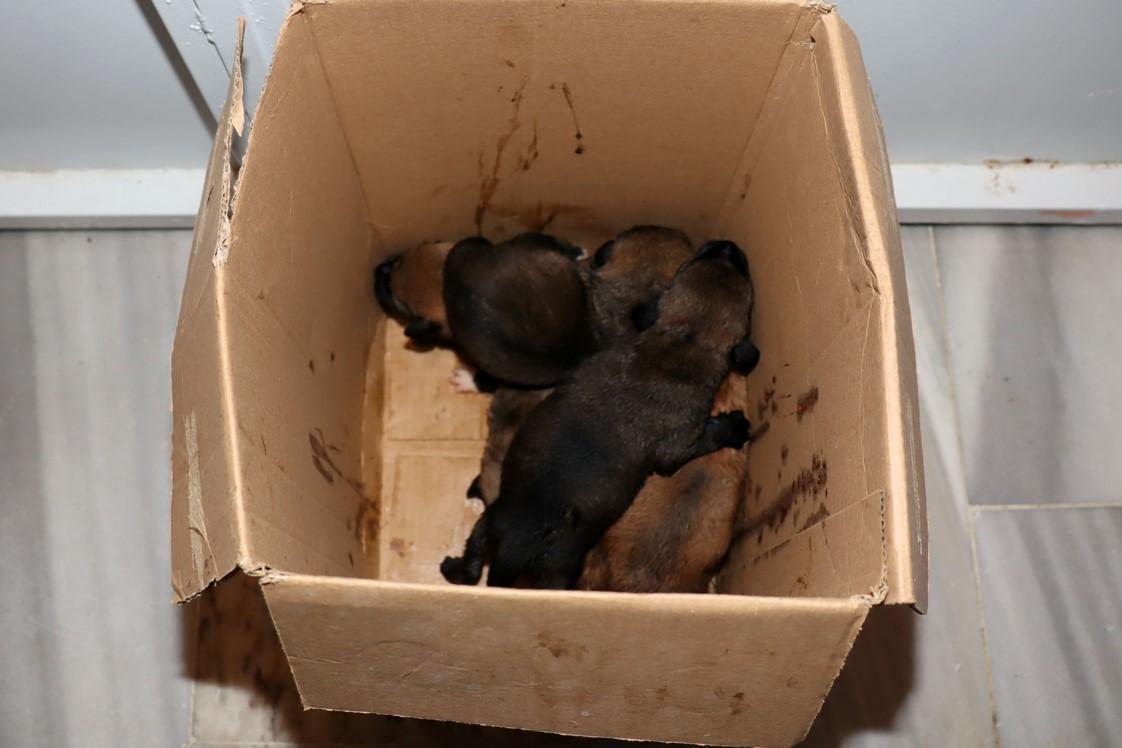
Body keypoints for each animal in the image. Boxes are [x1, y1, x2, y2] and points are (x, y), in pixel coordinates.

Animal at [442, 239, 758, 592]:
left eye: (691, 263)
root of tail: (510, 553)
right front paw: (733, 426)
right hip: (560, 567)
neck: (683, 339)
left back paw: (452, 567)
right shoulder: (677, 443)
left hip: (487, 524)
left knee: (471, 566)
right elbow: (701, 440)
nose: (727, 245)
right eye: (747, 286)